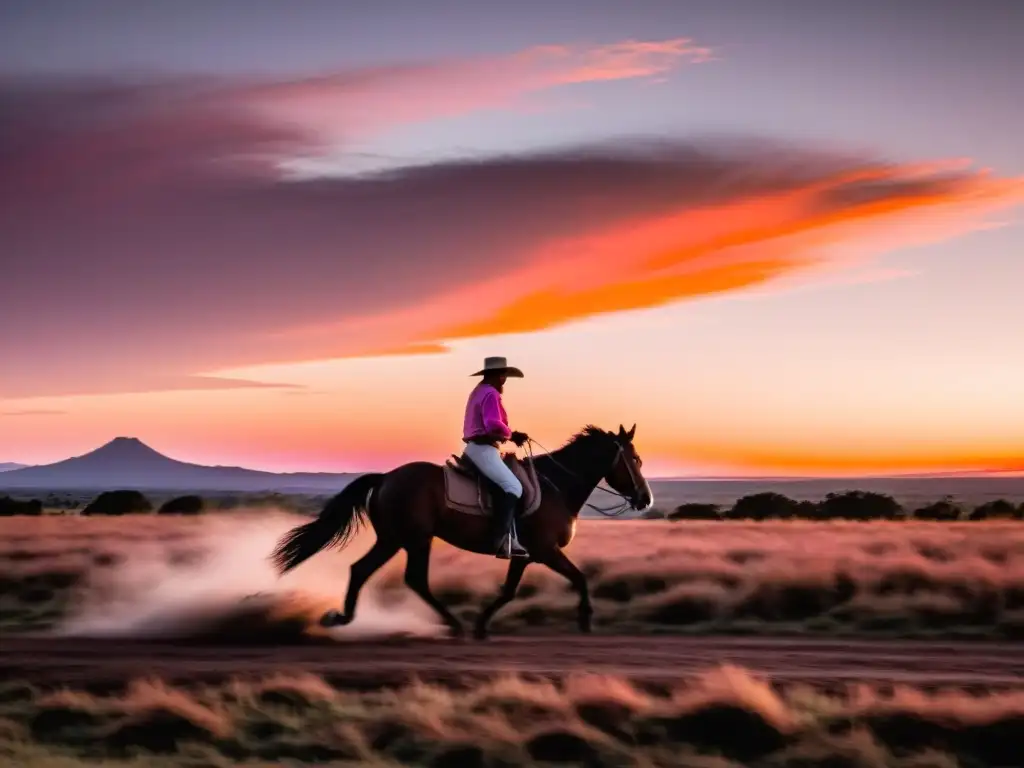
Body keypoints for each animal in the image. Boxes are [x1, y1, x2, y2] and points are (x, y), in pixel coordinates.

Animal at [270, 423, 655, 638]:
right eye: (634, 460)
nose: (645, 499)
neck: (556, 486)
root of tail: (386, 478)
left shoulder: (524, 556)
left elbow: (508, 591)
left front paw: (482, 625)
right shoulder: (546, 551)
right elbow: (579, 578)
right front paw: (586, 619)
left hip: (394, 539)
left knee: (362, 569)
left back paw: (342, 618)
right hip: (415, 539)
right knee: (414, 579)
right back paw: (450, 624)